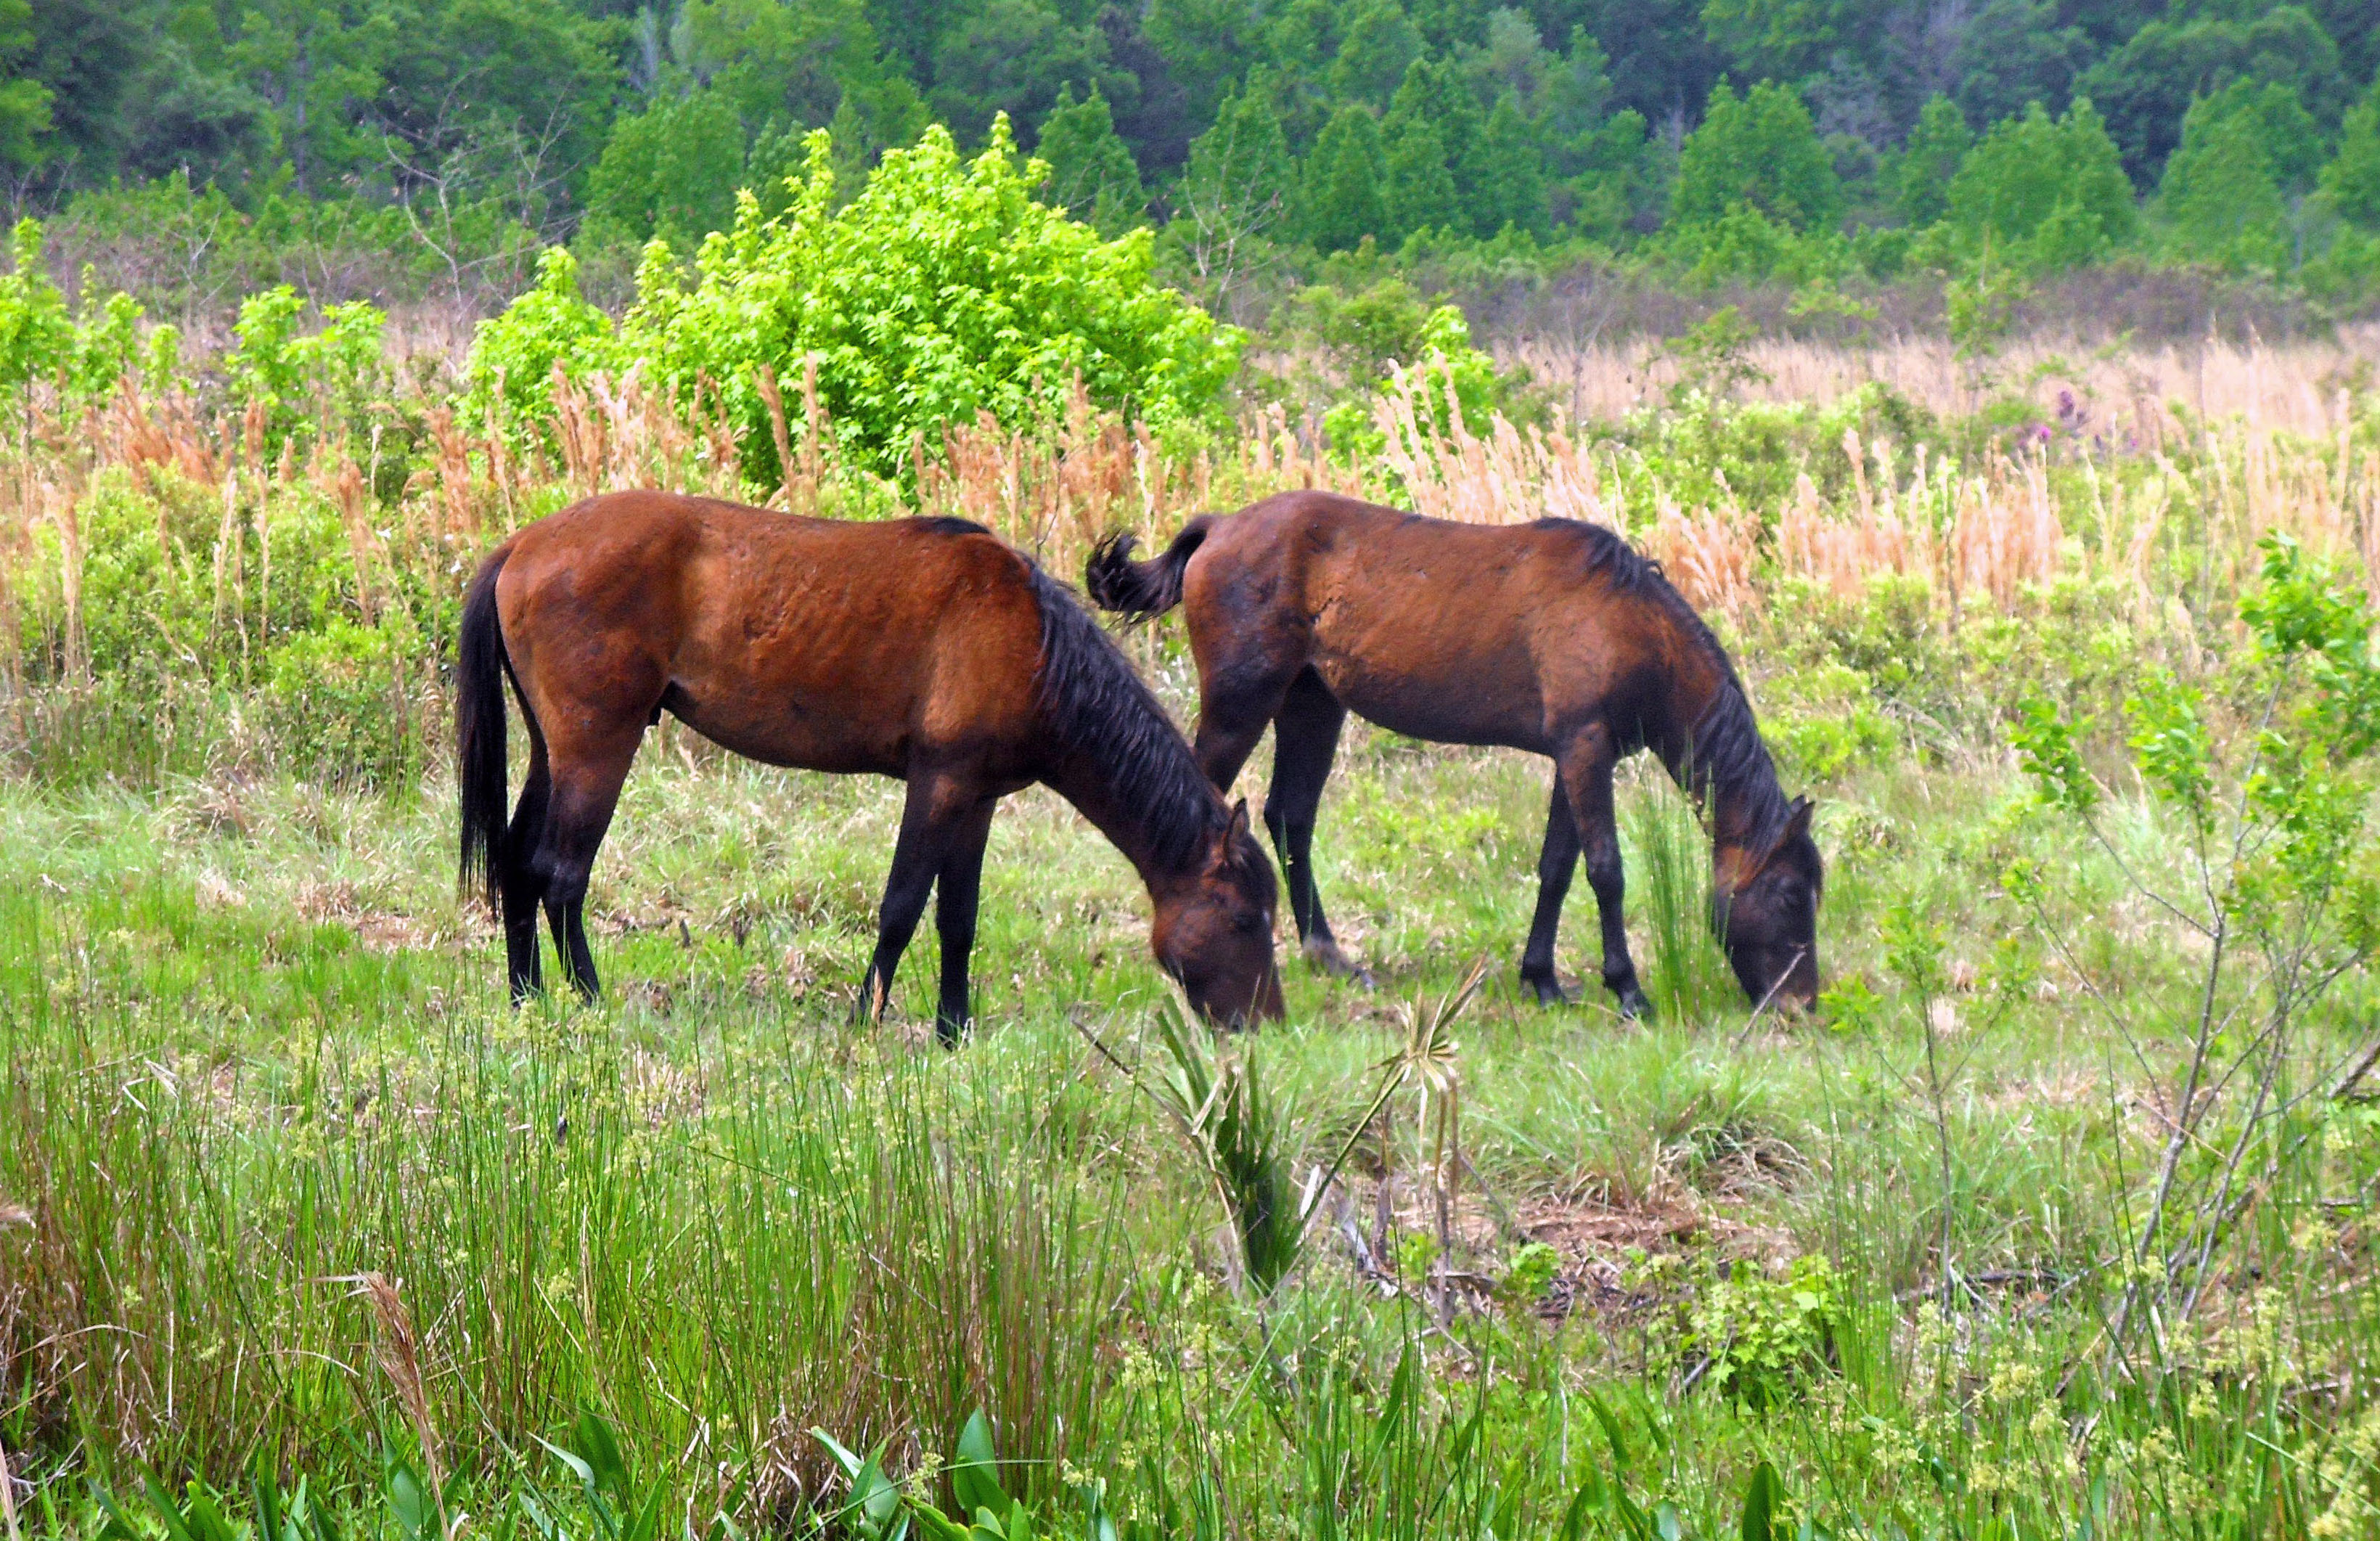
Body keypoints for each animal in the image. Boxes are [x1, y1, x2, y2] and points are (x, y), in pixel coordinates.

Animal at [459, 490, 1285, 1047]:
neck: (1032, 644)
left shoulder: (976, 798)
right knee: (561, 874)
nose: (1267, 1024)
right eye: (1245, 919)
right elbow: (901, 906)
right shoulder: (939, 784)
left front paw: (954, 1030)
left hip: (553, 751)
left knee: (518, 864)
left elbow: (958, 918)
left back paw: (526, 999)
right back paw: (590, 999)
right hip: (598, 747)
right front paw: (867, 1017)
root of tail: (523, 545)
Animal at [1089, 495, 1818, 1019]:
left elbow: (1557, 868)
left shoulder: (1576, 755)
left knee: (1290, 815)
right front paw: (1629, 990)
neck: (1629, 621)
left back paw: (1328, 954)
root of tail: (1219, 527)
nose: (1802, 1002)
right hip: (1241, 703)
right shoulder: (1585, 750)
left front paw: (1541, 979)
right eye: (1790, 894)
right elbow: (1606, 870)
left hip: (1312, 704)